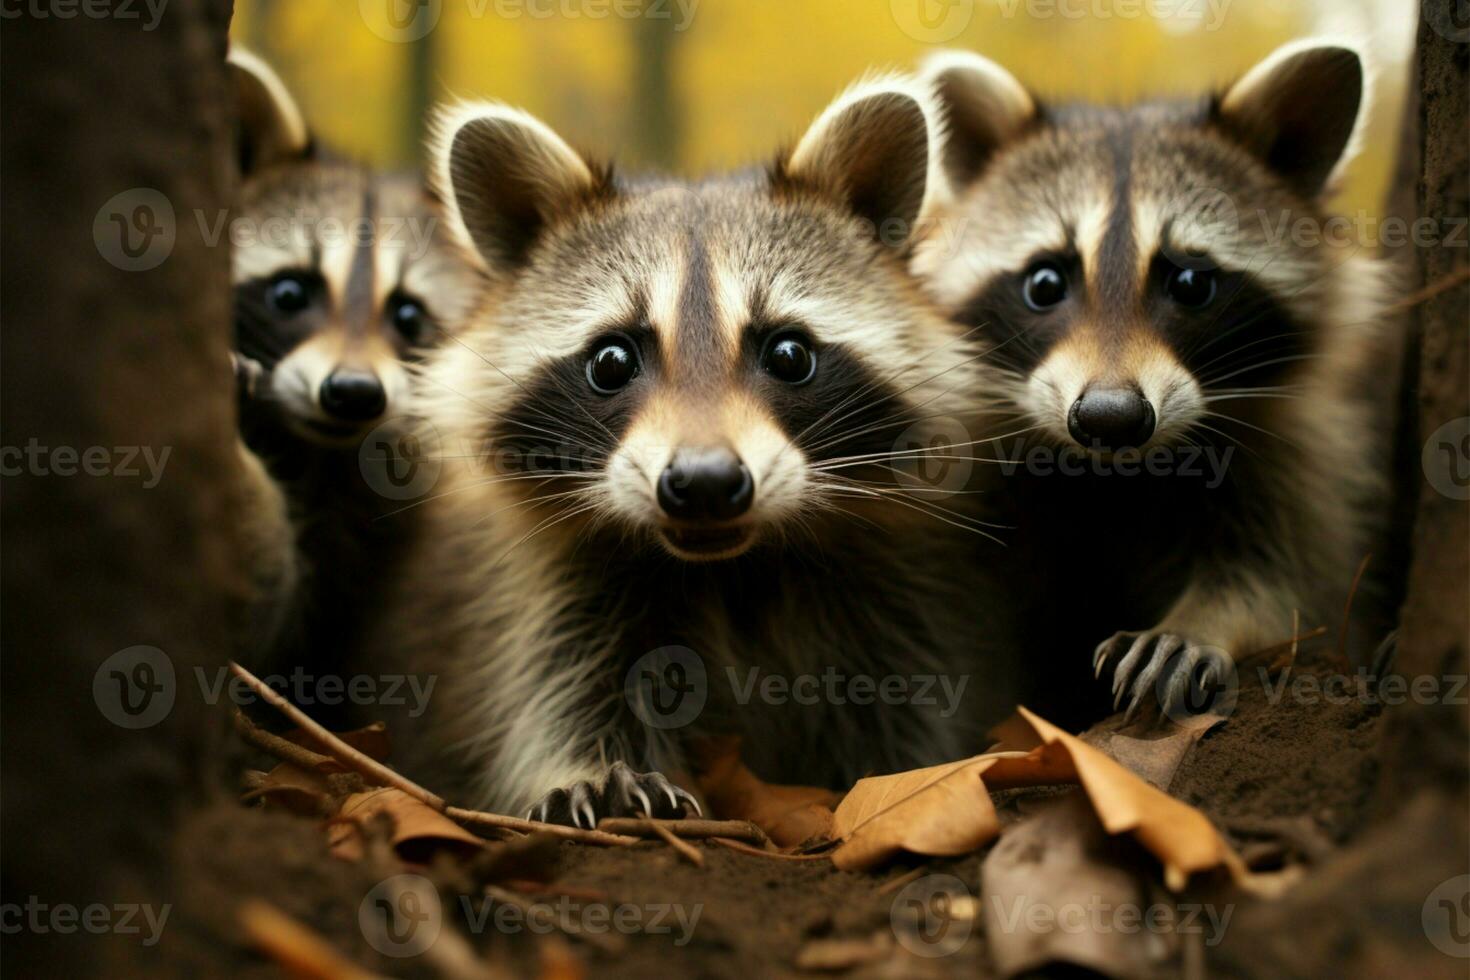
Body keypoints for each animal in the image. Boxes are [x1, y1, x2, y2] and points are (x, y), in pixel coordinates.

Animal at [367, 78, 1017, 828]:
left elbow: (904, 697)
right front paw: (591, 770)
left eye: (789, 354)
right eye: (612, 361)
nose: (705, 483)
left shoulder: (896, 585)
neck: (733, 567)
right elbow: (555, 682)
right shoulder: (538, 583)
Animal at [917, 42, 1387, 725]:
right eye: (1045, 283)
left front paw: (1201, 625)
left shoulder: (1292, 456)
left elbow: (1284, 576)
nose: (1109, 418)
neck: (1114, 478)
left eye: (1191, 283)